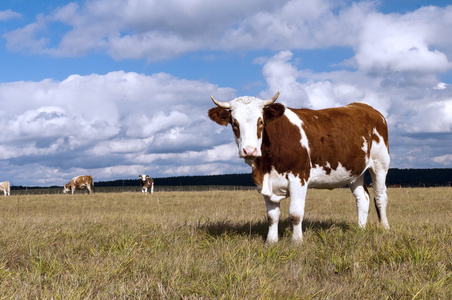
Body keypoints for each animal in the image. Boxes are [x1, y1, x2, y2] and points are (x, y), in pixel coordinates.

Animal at [210, 91, 390, 244]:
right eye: (234, 123)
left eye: (260, 122)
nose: (249, 150)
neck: (266, 165)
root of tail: (366, 108)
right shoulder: (265, 183)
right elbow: (272, 216)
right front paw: (271, 242)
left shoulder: (299, 178)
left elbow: (295, 214)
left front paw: (297, 242)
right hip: (354, 171)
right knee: (362, 198)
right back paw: (360, 229)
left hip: (380, 163)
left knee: (380, 197)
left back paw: (385, 228)